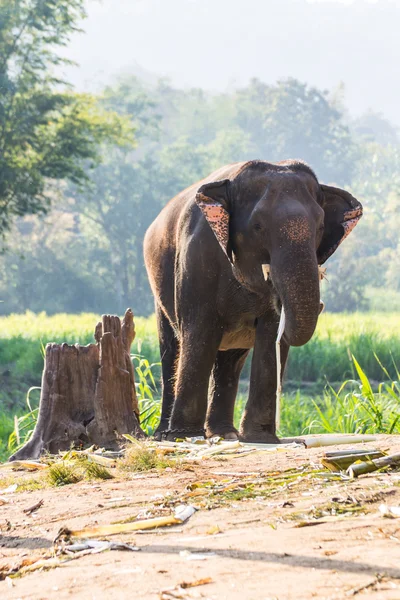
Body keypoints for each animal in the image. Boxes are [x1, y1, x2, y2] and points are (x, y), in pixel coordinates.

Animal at [144, 159, 362, 440]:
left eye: (321, 228)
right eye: (258, 226)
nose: (322, 305)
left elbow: (270, 334)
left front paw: (262, 438)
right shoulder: (196, 257)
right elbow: (199, 330)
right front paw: (184, 436)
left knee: (230, 361)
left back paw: (225, 434)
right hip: (160, 293)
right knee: (172, 348)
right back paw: (167, 434)